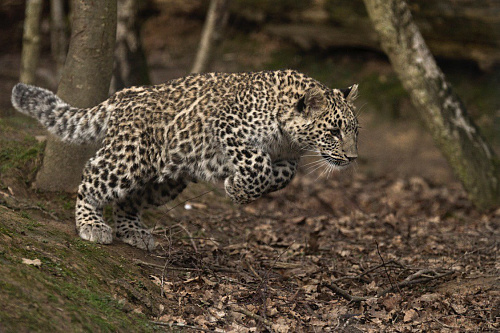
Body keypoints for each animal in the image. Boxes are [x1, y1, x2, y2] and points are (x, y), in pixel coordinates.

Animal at [11, 69, 360, 249]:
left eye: (355, 131)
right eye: (334, 131)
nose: (353, 157)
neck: (288, 139)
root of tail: (123, 94)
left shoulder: (288, 159)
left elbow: (279, 176)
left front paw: (240, 188)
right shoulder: (225, 124)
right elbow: (257, 163)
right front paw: (235, 187)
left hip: (165, 181)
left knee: (129, 200)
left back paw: (133, 231)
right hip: (128, 159)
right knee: (91, 176)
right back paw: (91, 224)